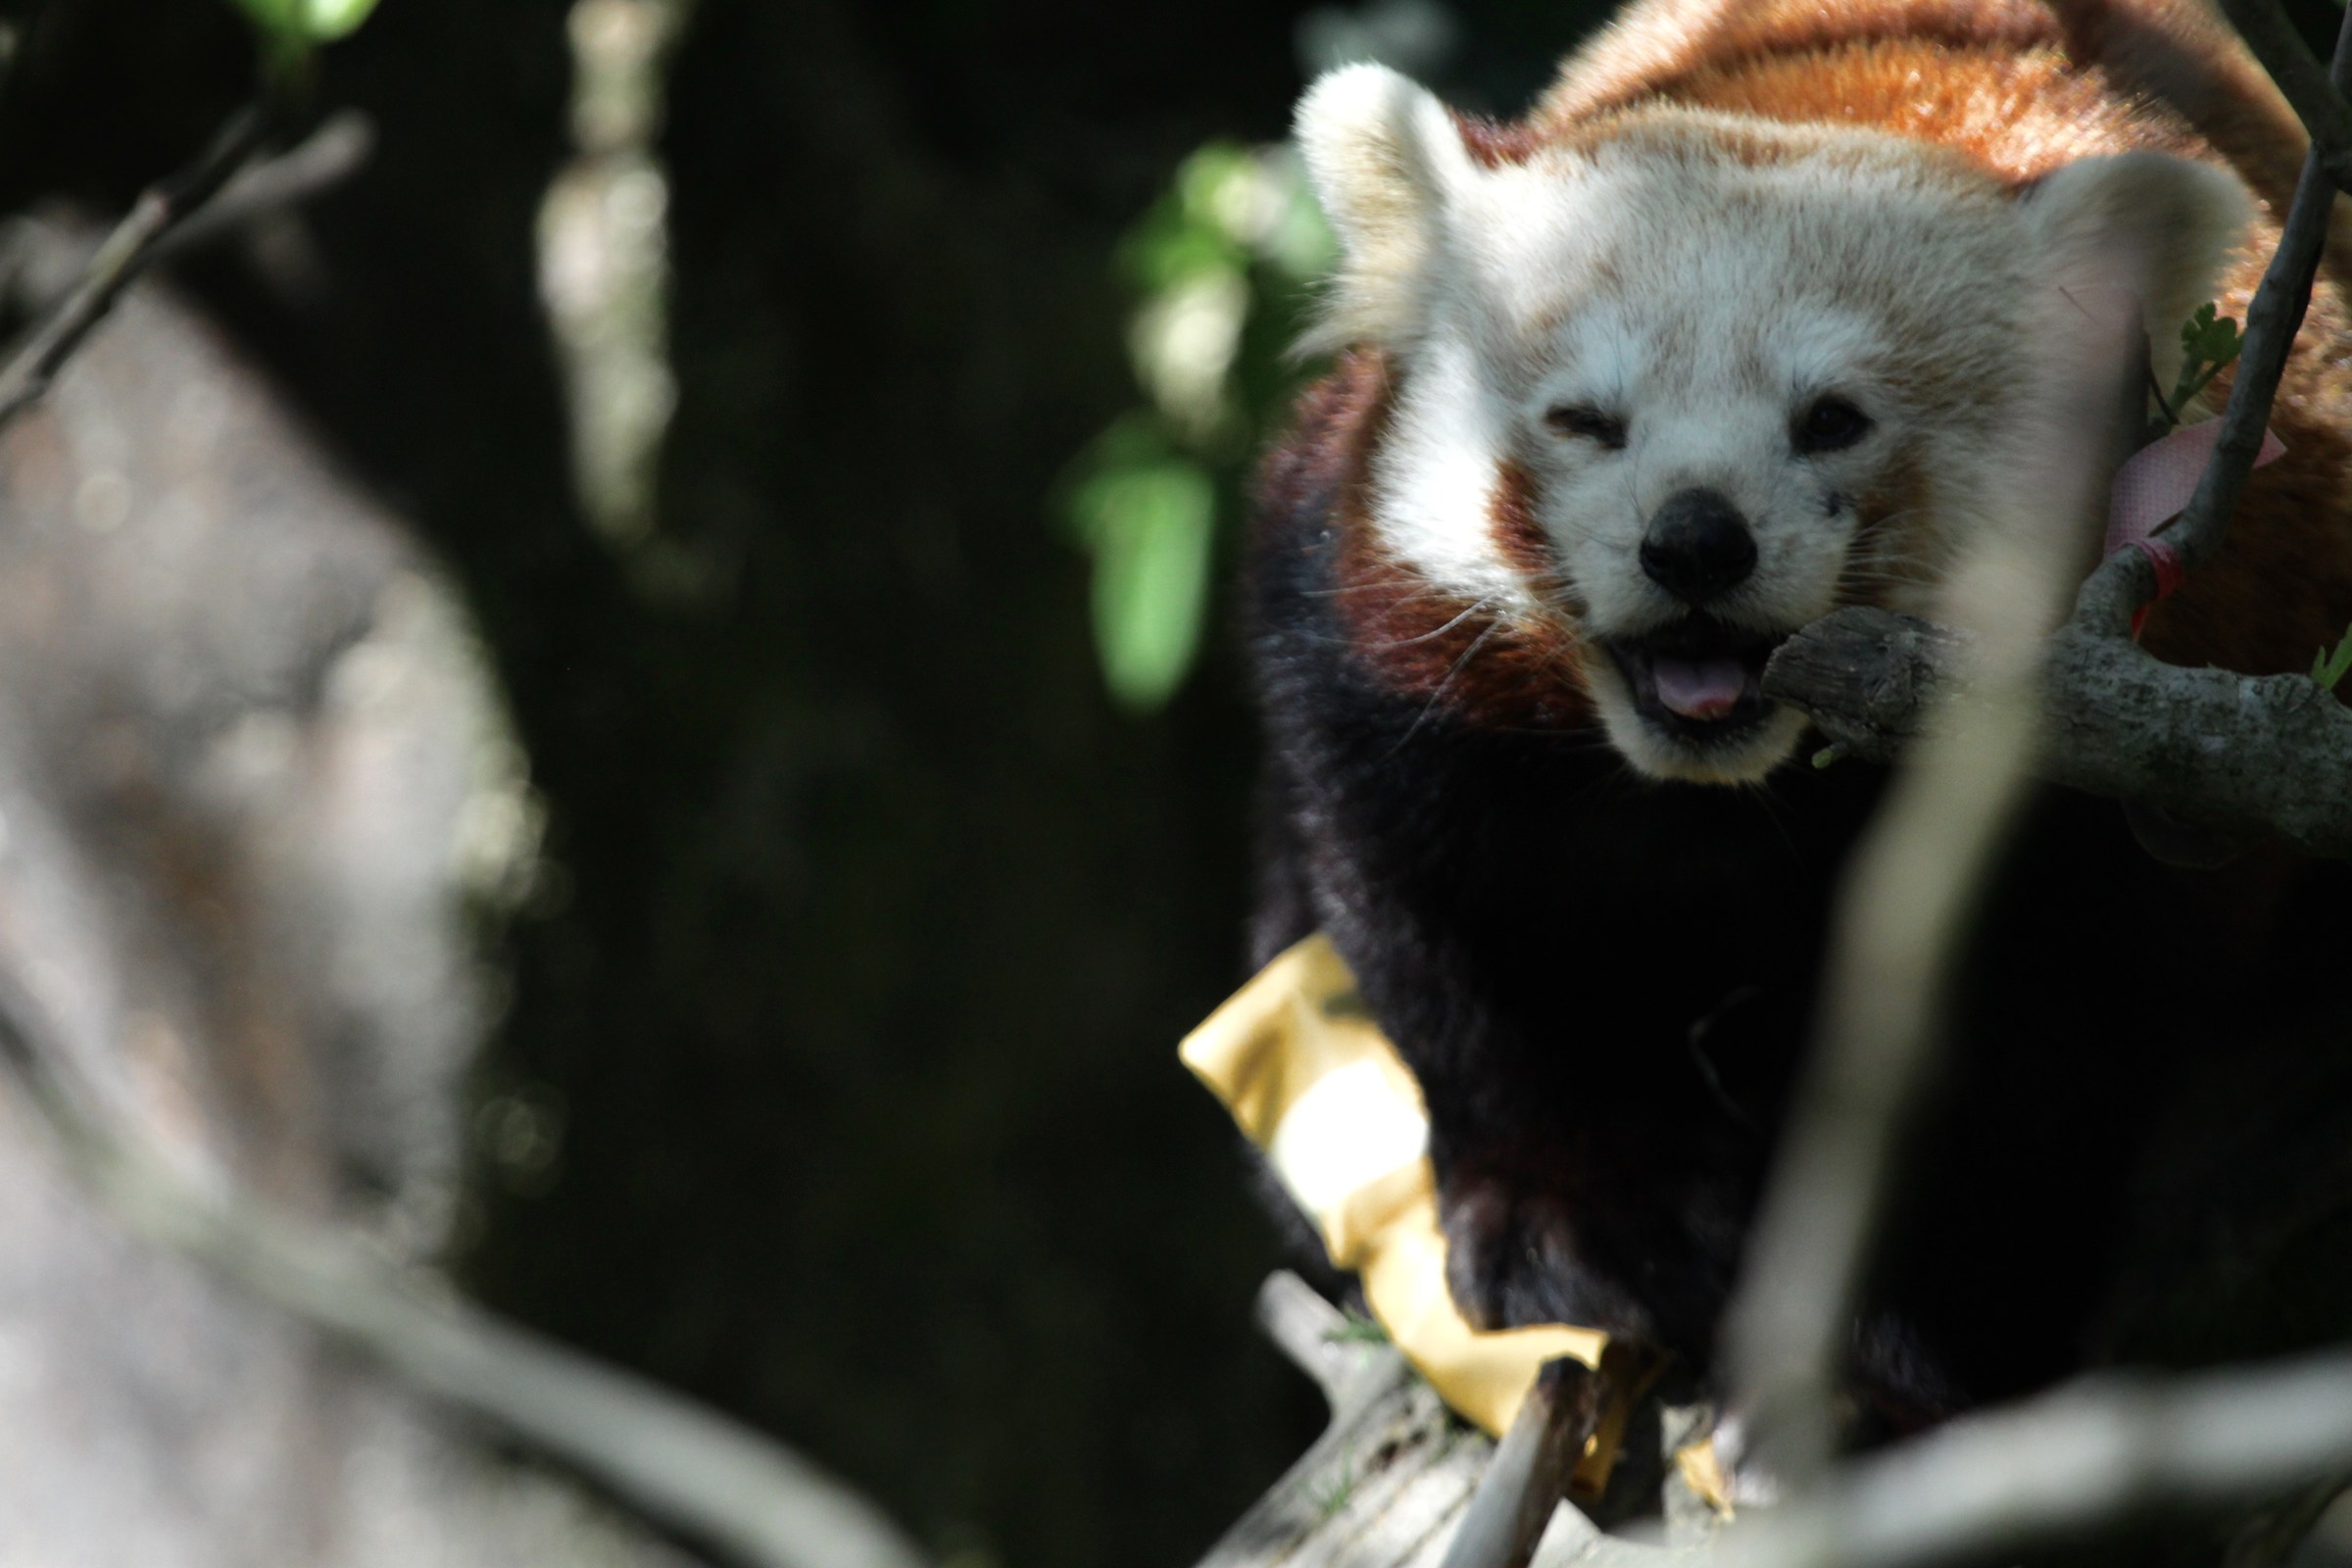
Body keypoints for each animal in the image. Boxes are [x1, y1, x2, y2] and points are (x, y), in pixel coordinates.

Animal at [1245, 0, 2352, 1436]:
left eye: (1831, 421)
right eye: (1586, 421)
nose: (1694, 544)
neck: (1728, 794)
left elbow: (2052, 1049)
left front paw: (1921, 1327)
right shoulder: (1382, 665)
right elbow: (1433, 925)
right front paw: (1574, 1225)